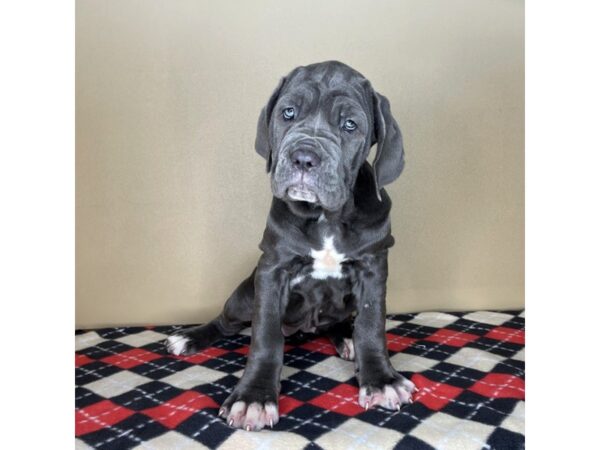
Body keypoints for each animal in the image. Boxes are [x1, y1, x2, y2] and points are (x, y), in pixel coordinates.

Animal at [166, 61, 414, 430]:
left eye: (350, 124)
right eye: (288, 113)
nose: (304, 157)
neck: (326, 217)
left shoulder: (373, 269)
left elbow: (371, 325)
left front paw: (381, 380)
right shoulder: (273, 270)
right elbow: (265, 335)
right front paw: (253, 398)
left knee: (341, 321)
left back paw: (346, 337)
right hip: (244, 296)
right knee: (227, 321)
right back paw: (190, 337)